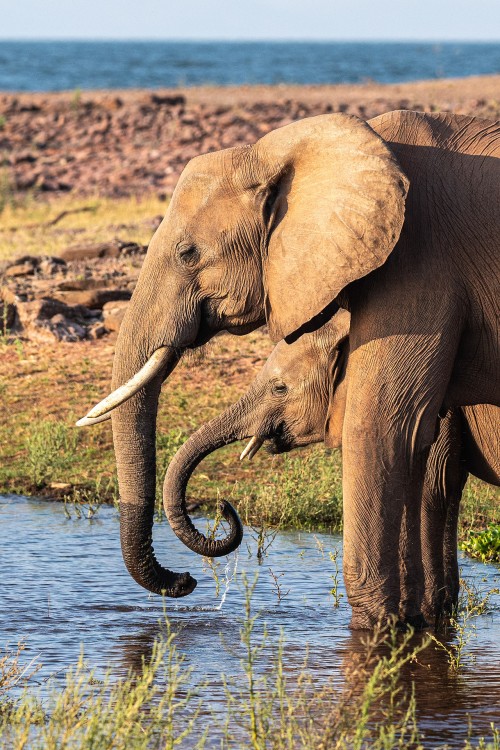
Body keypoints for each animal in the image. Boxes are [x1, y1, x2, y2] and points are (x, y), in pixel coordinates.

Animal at [79, 110, 500, 628]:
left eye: (187, 254)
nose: (186, 581)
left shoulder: (418, 261)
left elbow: (382, 427)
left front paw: (378, 630)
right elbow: (421, 451)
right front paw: (413, 624)